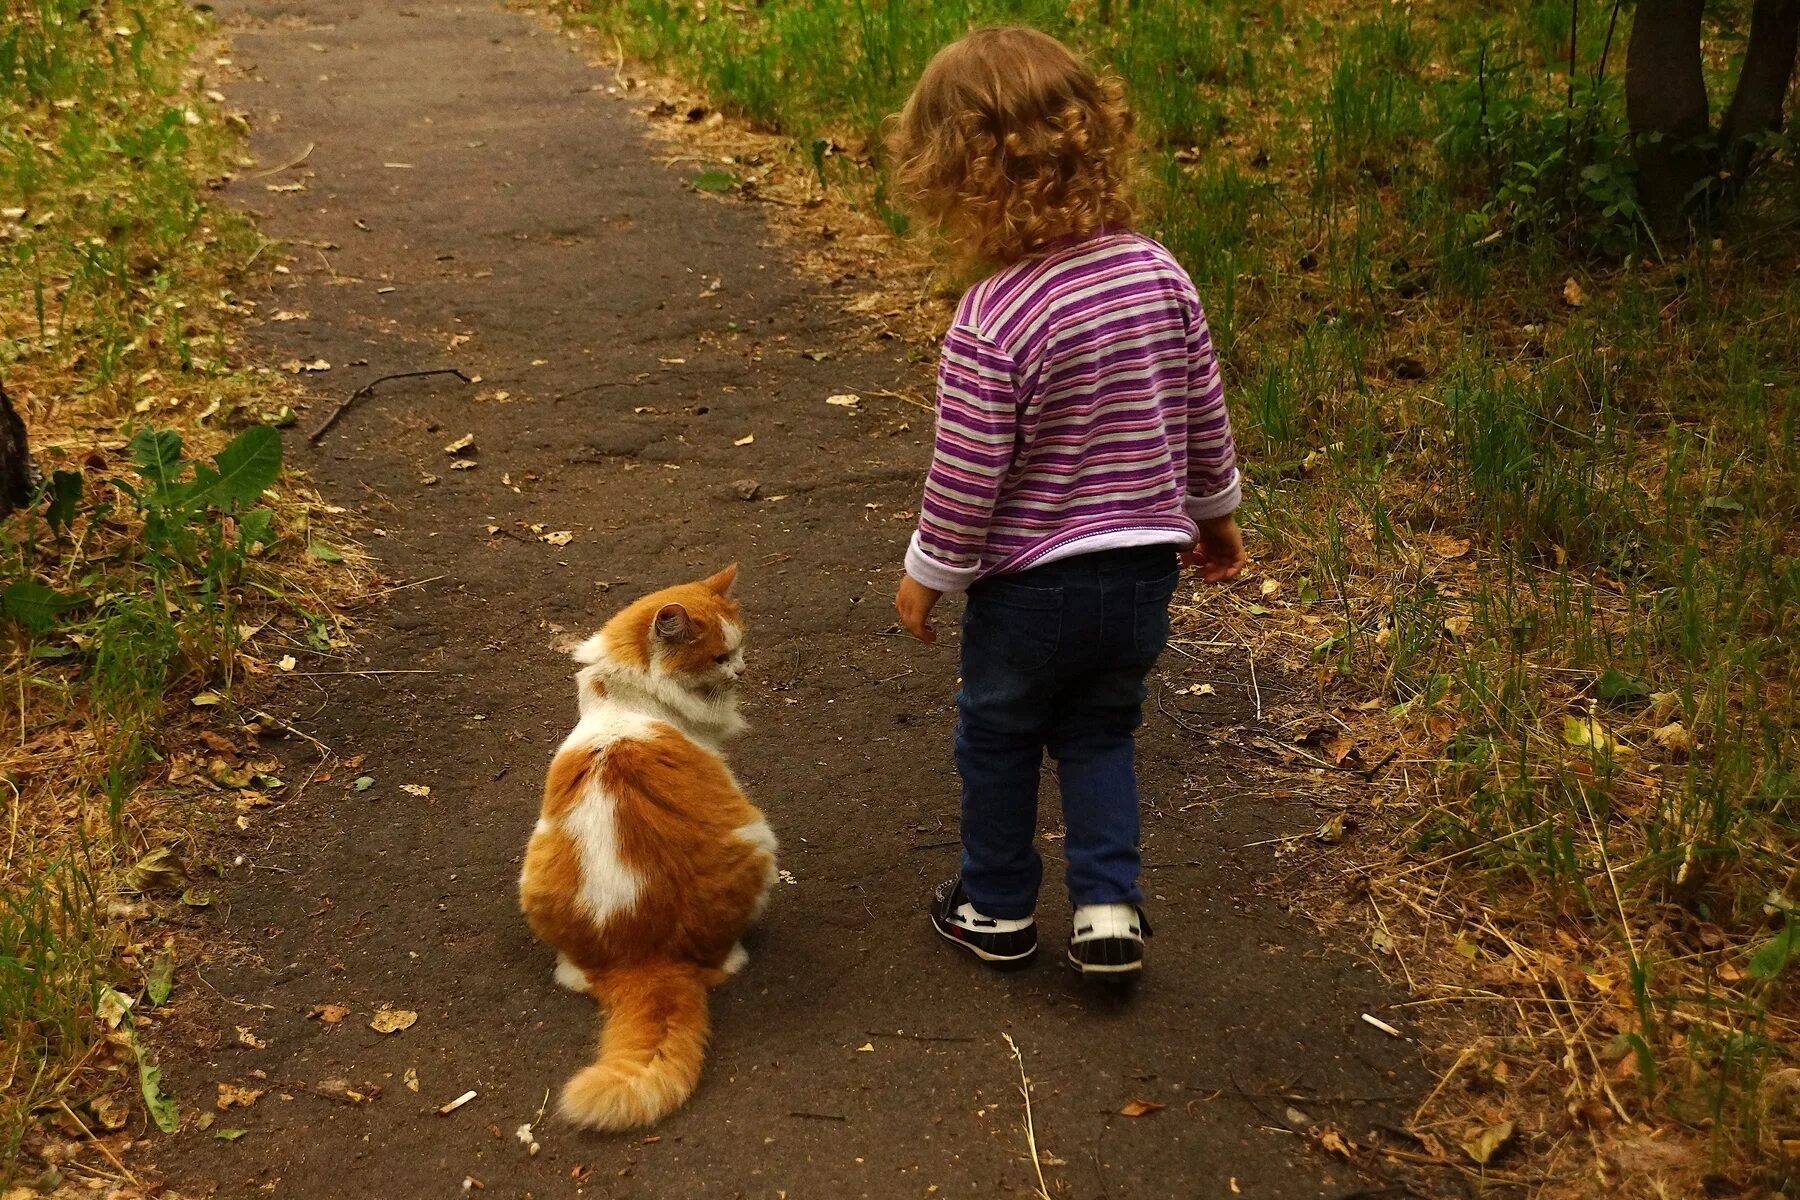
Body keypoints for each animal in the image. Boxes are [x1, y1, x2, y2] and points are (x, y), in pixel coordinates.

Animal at [518, 568, 777, 1129]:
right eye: (721, 657)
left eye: (739, 648)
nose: (742, 670)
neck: (625, 696)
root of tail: (643, 959)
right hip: (758, 840)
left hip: (532, 874)